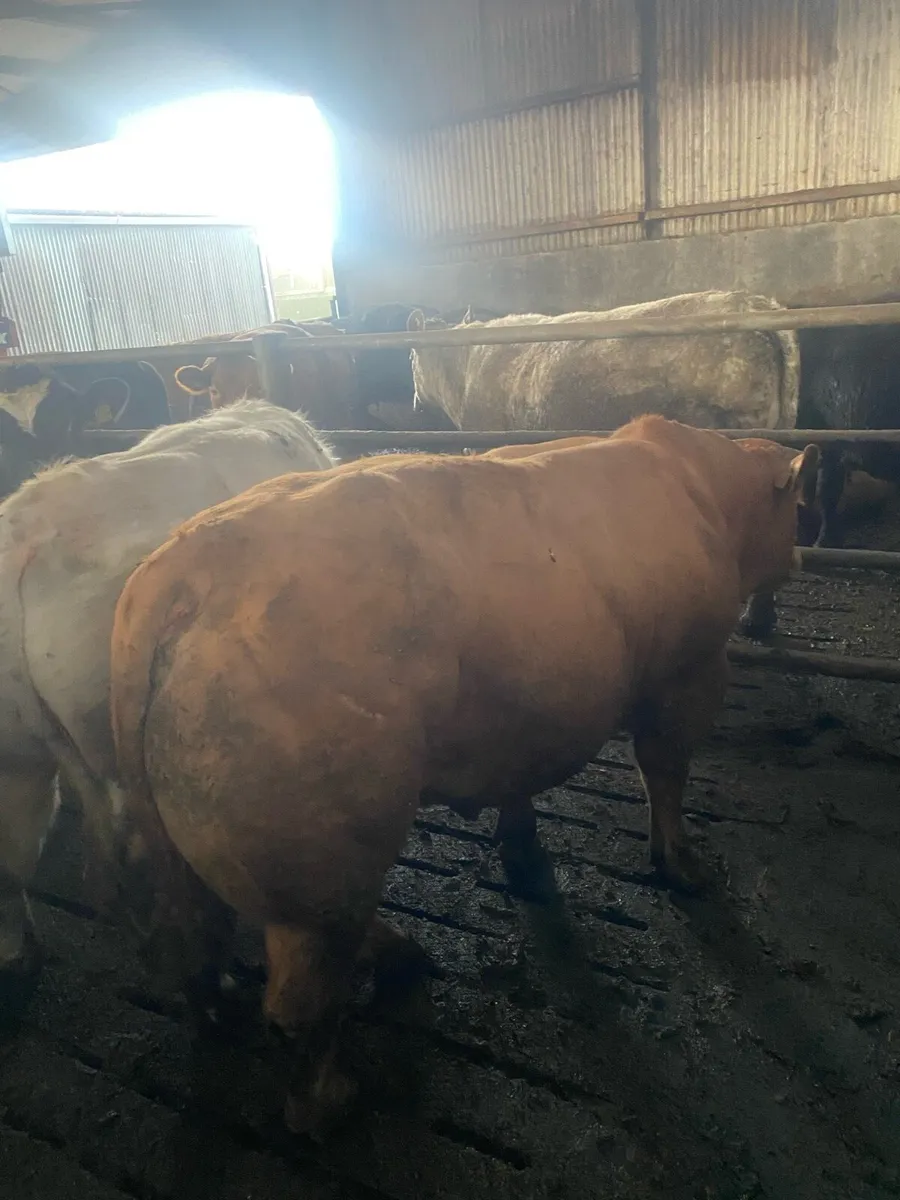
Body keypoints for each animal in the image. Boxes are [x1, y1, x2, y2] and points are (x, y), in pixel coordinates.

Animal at [108, 416, 818, 1134]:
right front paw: (683, 865)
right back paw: (330, 1100)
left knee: (197, 934)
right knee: (301, 992)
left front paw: (526, 858)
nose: (797, 561)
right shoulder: (688, 671)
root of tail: (177, 579)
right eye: (797, 505)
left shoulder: (526, 709)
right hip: (320, 839)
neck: (704, 487)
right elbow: (665, 770)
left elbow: (521, 779)